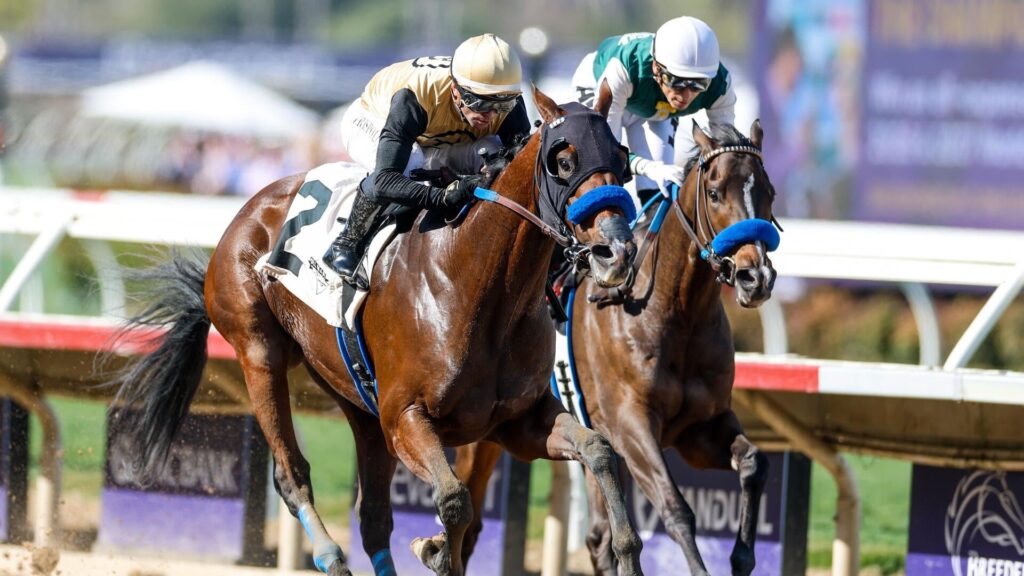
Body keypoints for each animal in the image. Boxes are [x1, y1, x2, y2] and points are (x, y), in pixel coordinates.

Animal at [105, 87, 648, 576]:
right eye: (564, 161)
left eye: (621, 159)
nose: (616, 251)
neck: (479, 284)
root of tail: (247, 212)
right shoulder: (406, 416)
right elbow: (454, 501)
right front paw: (433, 547)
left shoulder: (516, 421)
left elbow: (600, 451)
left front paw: (626, 553)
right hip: (259, 353)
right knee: (291, 473)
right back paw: (329, 555)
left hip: (355, 398)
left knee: (372, 516)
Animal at [456, 120, 779, 576]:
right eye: (715, 193)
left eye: (769, 193)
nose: (756, 278)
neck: (674, 311)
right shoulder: (630, 426)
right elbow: (676, 509)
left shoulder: (700, 428)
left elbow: (754, 464)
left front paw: (743, 557)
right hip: (478, 434)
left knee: (597, 536)